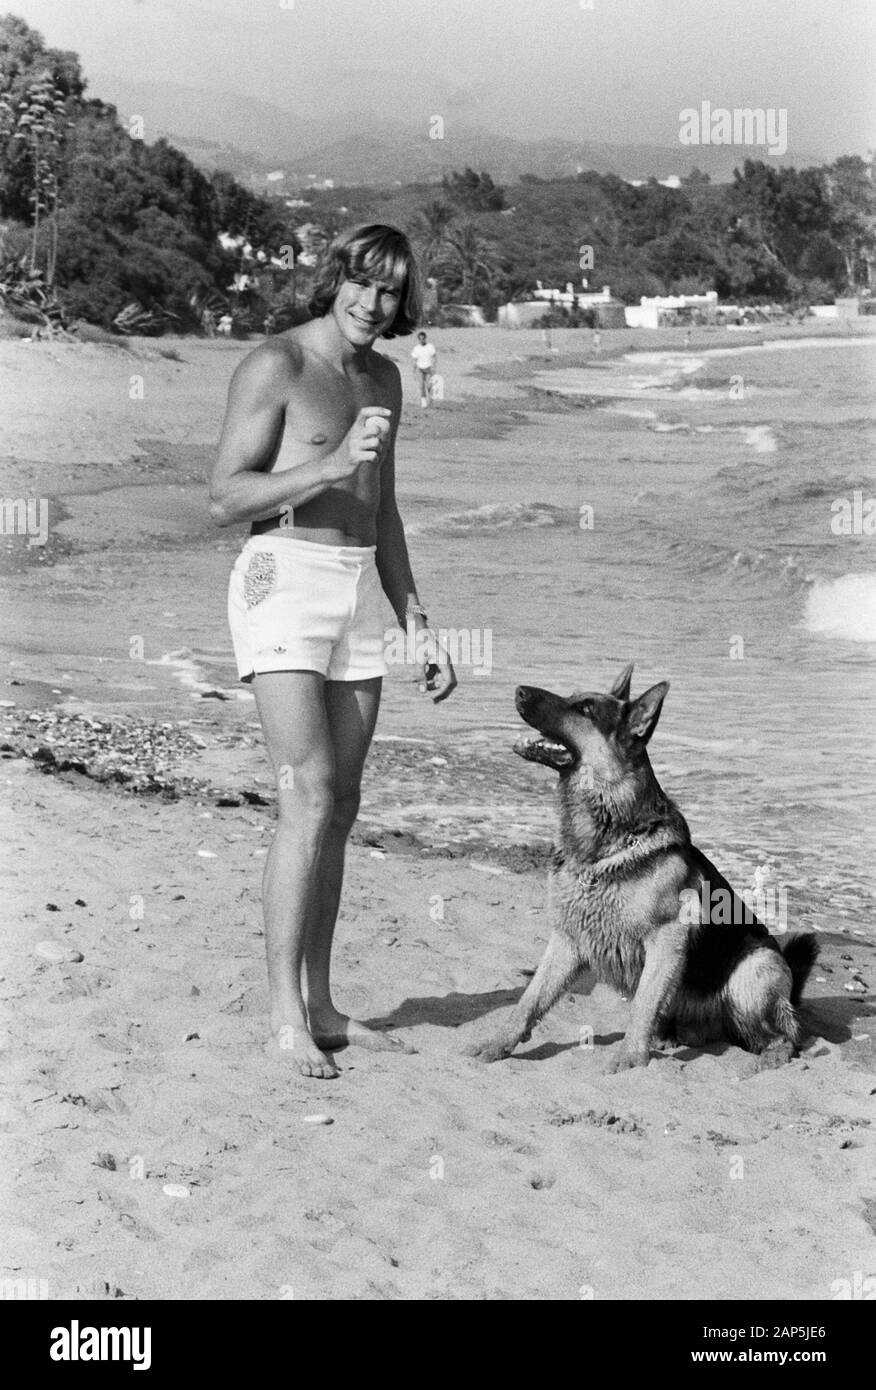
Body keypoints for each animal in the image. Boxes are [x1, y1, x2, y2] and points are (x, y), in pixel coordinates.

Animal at [469, 667, 823, 1067]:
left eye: (585, 709)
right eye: (573, 696)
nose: (518, 690)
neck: (605, 842)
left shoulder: (666, 940)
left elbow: (642, 1005)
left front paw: (630, 1058)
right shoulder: (567, 939)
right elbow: (528, 999)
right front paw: (499, 1043)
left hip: (753, 969)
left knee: (787, 1037)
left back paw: (768, 1057)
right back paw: (668, 1037)